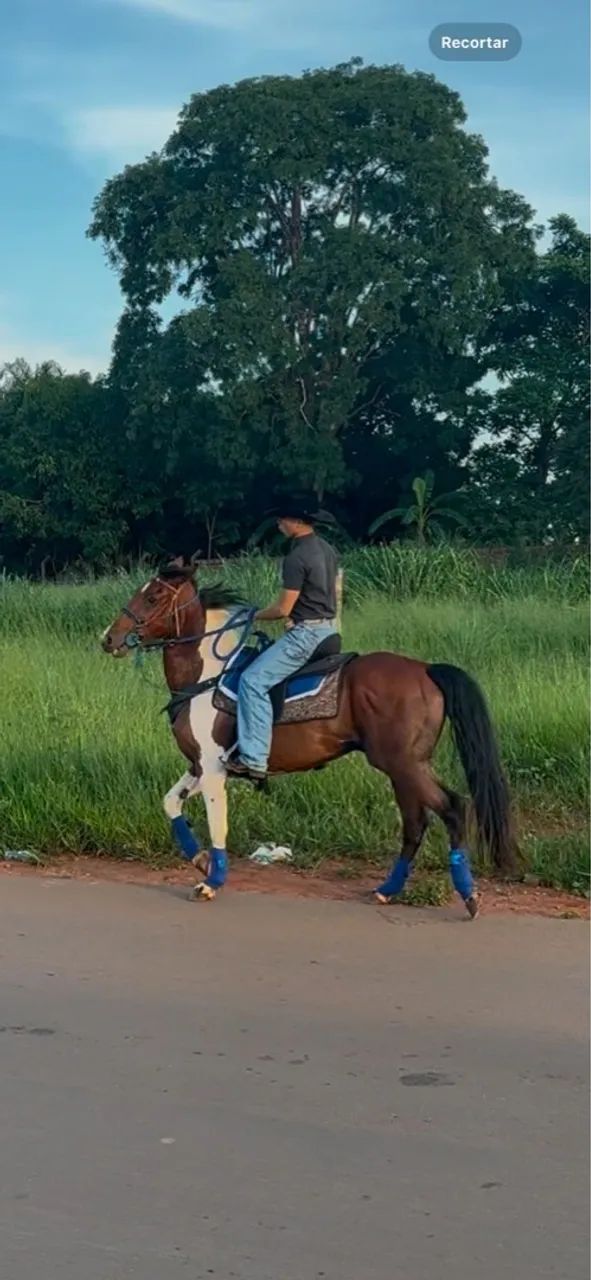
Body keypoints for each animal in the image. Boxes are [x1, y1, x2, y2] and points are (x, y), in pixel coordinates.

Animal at [101, 556, 516, 913]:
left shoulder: (213, 768)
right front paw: (201, 860)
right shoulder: (198, 764)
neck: (208, 675)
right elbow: (171, 804)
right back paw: (387, 890)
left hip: (404, 765)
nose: (109, 638)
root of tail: (427, 669)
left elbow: (218, 824)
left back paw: (468, 895)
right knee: (416, 823)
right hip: (406, 767)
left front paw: (211, 881)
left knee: (452, 809)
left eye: (153, 596)